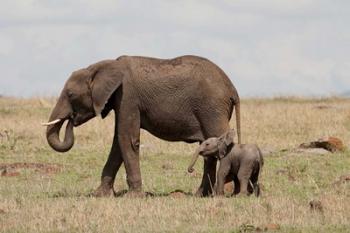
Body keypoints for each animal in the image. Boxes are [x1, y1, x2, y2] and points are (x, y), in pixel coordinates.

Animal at [43, 55, 241, 198]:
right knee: (209, 148)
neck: (105, 65)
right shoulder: (120, 99)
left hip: (212, 109)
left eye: (70, 94)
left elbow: (126, 139)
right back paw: (200, 195)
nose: (71, 119)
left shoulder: (127, 96)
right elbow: (118, 142)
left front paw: (133, 197)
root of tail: (233, 89)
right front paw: (99, 195)